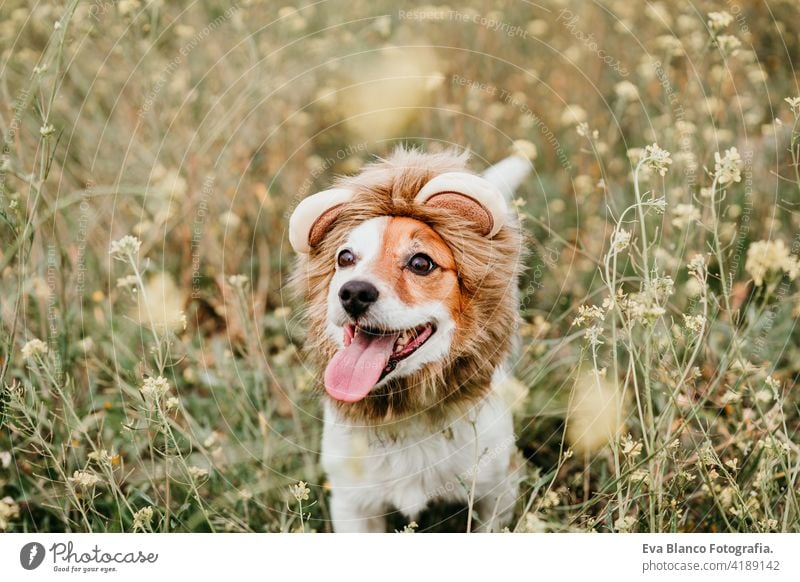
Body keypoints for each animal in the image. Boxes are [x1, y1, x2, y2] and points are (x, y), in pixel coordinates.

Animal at [290, 147, 532, 532]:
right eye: (345, 257)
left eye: (421, 263)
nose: (353, 293)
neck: (406, 412)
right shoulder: (353, 506)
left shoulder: (497, 492)